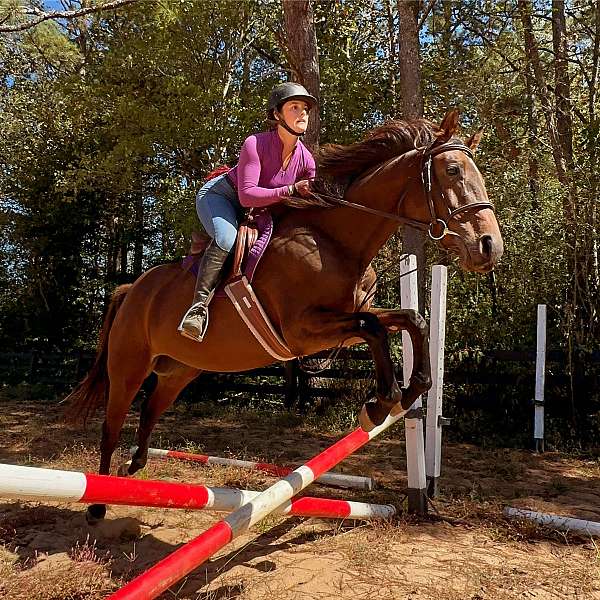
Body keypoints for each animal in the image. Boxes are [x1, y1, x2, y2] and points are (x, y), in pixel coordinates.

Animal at [67, 111, 502, 520]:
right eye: (452, 171)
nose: (489, 246)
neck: (336, 241)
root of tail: (132, 289)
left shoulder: (343, 321)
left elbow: (412, 320)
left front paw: (408, 393)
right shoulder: (303, 331)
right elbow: (375, 329)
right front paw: (381, 404)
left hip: (179, 370)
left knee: (151, 408)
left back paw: (134, 466)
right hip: (129, 367)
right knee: (111, 426)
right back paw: (98, 503)